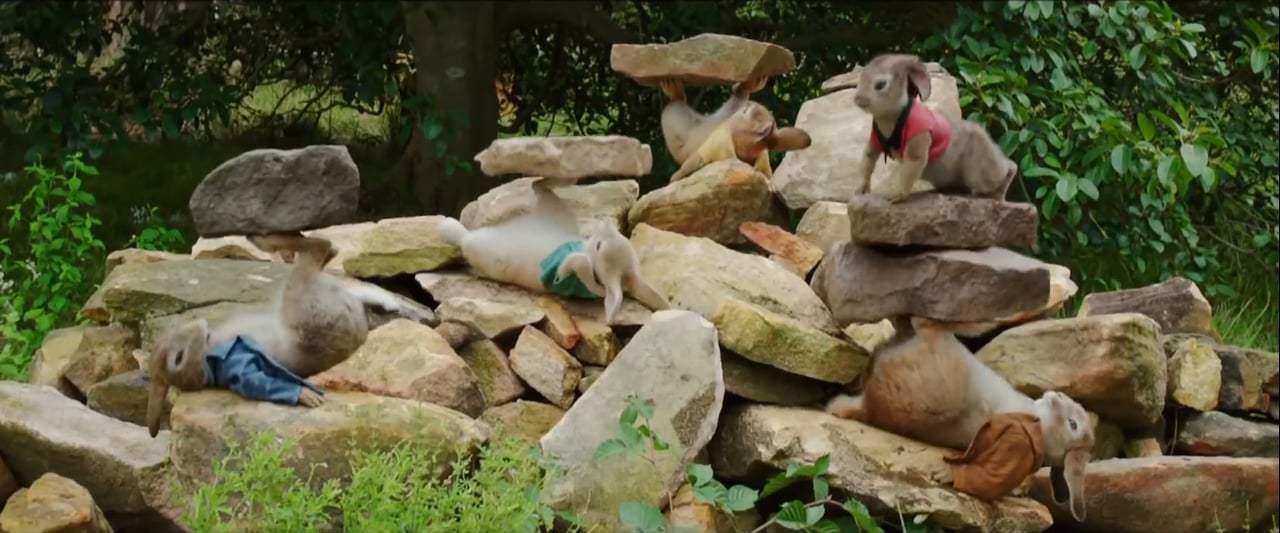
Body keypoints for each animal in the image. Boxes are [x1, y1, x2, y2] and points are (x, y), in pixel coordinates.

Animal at [145, 234, 427, 437]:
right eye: (178, 356)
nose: (201, 326)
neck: (206, 354)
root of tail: (358, 329)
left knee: (322, 251)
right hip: (303, 290)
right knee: (318, 249)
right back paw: (262, 239)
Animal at [437, 178, 670, 324]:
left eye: (599, 246)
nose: (606, 224)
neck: (582, 246)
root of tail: (467, 238)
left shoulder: (560, 274)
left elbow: (582, 267)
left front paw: (576, 276)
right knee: (540, 188)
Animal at [660, 76, 811, 182]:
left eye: (745, 112)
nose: (748, 106)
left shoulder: (721, 140)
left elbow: (695, 160)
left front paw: (676, 177)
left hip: (677, 123)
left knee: (676, 105)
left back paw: (676, 94)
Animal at [827, 317, 1092, 520]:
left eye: (1073, 425)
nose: (1057, 395)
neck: (1042, 425)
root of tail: (870, 406)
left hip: (940, 348)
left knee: (925, 325)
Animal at [850, 54, 1017, 202]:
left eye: (880, 85)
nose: (857, 99)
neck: (891, 117)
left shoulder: (918, 138)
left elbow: (910, 169)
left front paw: (897, 195)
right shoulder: (874, 140)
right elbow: (868, 160)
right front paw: (861, 189)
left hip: (982, 174)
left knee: (1010, 169)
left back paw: (997, 195)